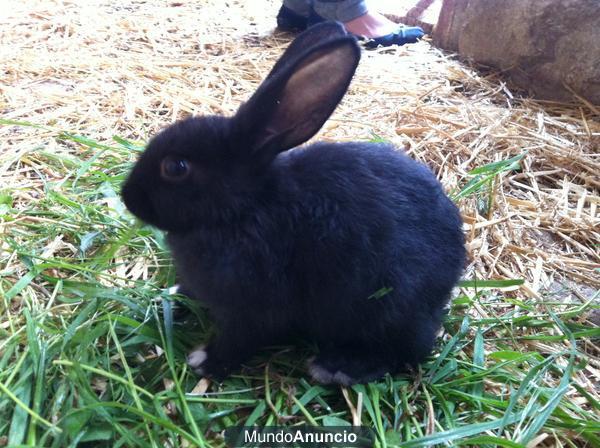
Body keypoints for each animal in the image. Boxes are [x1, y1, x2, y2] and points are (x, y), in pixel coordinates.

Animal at [122, 21, 466, 384]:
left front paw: (206, 362)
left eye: (176, 167)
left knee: (409, 350)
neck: (245, 209)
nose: (127, 197)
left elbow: (241, 341)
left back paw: (334, 368)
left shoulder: (255, 309)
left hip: (389, 309)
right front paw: (174, 296)